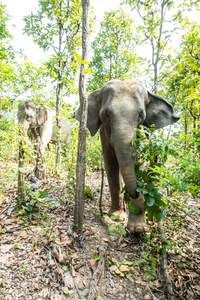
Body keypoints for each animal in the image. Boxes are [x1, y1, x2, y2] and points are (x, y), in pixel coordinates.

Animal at [74, 78, 180, 233]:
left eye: (141, 116)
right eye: (106, 114)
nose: (135, 193)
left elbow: (140, 165)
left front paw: (138, 229)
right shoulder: (104, 134)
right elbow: (111, 165)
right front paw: (117, 216)